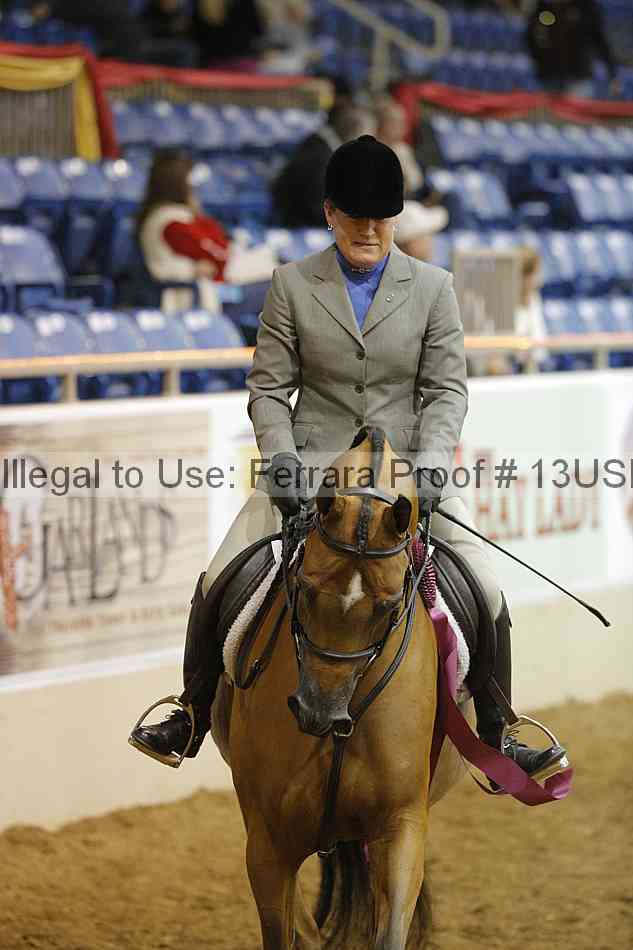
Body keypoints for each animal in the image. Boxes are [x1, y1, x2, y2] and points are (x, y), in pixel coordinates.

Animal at [212, 427, 473, 950]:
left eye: (389, 606)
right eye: (305, 589)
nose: (317, 713)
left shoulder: (401, 826)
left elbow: (390, 932)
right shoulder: (267, 842)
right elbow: (283, 932)